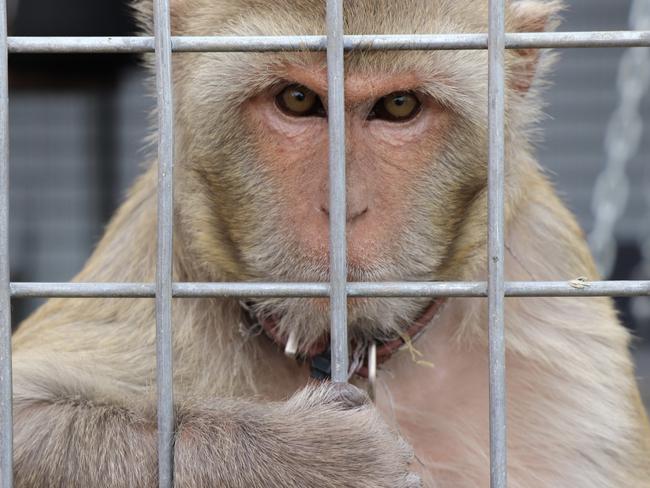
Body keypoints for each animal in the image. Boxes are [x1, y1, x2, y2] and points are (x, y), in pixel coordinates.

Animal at [5, 0, 648, 486]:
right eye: (296, 100)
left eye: (399, 105)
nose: (342, 210)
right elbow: (25, 408)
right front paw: (305, 462)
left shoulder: (570, 377)